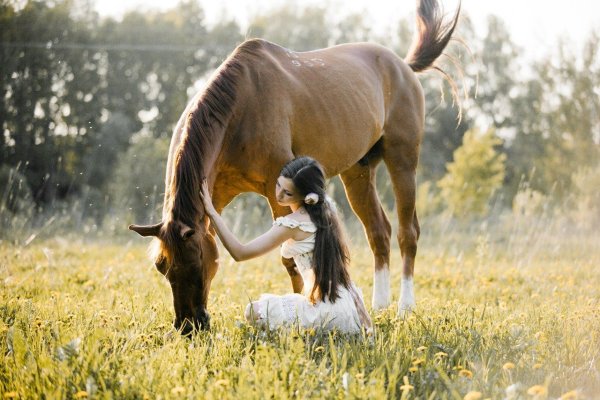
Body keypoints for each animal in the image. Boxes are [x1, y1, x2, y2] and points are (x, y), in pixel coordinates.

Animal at [130, 0, 460, 332]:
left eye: (197, 259)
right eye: (161, 266)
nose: (188, 326)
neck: (240, 110)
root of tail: (402, 66)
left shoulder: (277, 191)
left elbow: (289, 258)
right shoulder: (214, 196)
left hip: (402, 162)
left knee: (408, 232)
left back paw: (404, 307)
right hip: (358, 171)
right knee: (379, 231)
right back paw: (379, 306)